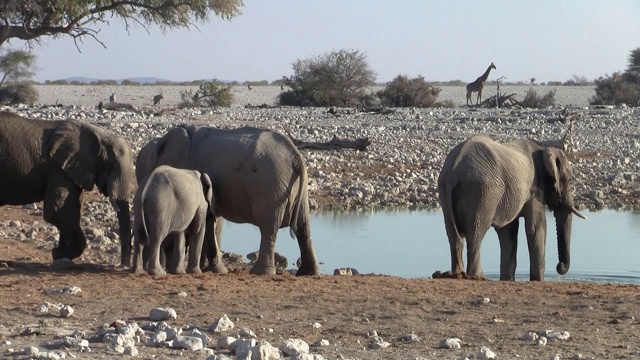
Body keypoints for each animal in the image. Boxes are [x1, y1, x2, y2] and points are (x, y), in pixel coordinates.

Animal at [0, 111, 134, 266]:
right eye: (112, 166)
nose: (123, 266)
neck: (99, 134)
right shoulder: (59, 169)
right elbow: (59, 213)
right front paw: (58, 254)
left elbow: (70, 211)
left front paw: (59, 254)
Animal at [138, 124, 322, 276]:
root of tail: (296, 156)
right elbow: (212, 221)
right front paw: (211, 268)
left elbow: (208, 220)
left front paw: (213, 269)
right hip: (294, 187)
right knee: (303, 226)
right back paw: (308, 273)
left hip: (271, 187)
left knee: (268, 227)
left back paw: (260, 272)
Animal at [438, 135, 588, 282]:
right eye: (569, 180)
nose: (560, 266)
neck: (544, 148)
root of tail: (453, 169)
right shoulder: (534, 191)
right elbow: (536, 229)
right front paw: (537, 280)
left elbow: (508, 231)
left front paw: (507, 280)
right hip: (481, 192)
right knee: (475, 233)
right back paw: (477, 277)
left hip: (445, 189)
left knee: (454, 236)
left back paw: (457, 275)